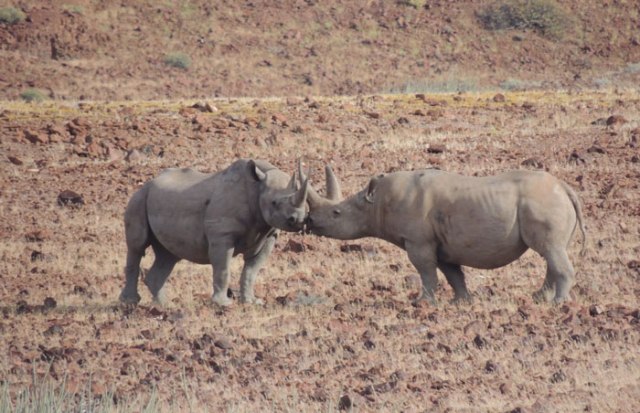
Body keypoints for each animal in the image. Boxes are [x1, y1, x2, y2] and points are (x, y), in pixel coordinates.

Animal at [119, 159, 309, 306]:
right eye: (274, 203)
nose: (298, 219)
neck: (257, 187)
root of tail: (148, 183)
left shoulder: (268, 235)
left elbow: (251, 270)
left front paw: (252, 302)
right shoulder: (222, 235)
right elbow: (223, 268)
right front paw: (223, 304)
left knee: (168, 255)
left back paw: (164, 305)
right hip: (139, 198)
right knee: (137, 246)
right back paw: (130, 302)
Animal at [304, 165, 586, 305]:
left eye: (336, 213)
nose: (309, 222)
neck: (376, 203)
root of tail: (565, 187)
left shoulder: (418, 241)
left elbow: (426, 271)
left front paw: (422, 303)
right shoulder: (441, 243)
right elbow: (453, 274)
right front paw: (460, 302)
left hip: (543, 202)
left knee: (550, 250)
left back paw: (558, 303)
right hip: (547, 201)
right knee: (551, 251)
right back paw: (539, 298)